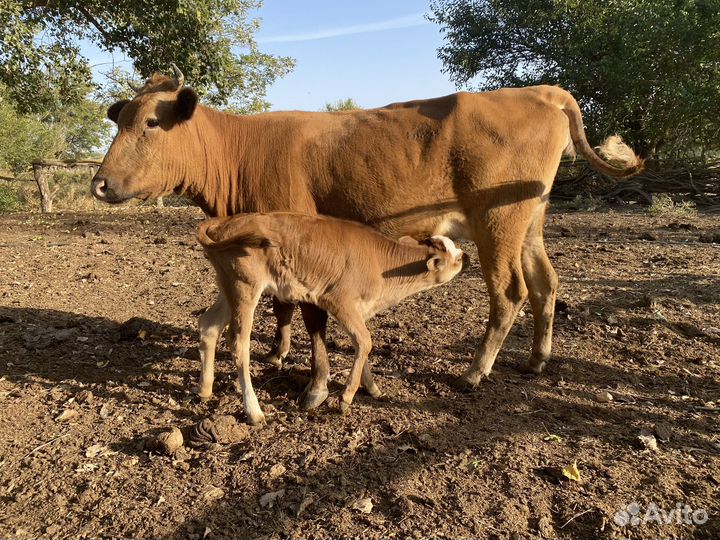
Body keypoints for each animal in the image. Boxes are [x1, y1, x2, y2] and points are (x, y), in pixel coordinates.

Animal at [197, 212, 468, 424]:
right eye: (456, 258)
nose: (466, 256)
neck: (382, 267)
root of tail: (224, 221)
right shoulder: (339, 301)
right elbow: (366, 341)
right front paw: (346, 397)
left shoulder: (358, 310)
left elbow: (362, 345)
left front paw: (372, 388)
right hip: (245, 287)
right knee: (238, 345)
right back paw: (254, 412)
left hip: (228, 286)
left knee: (209, 326)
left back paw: (205, 390)